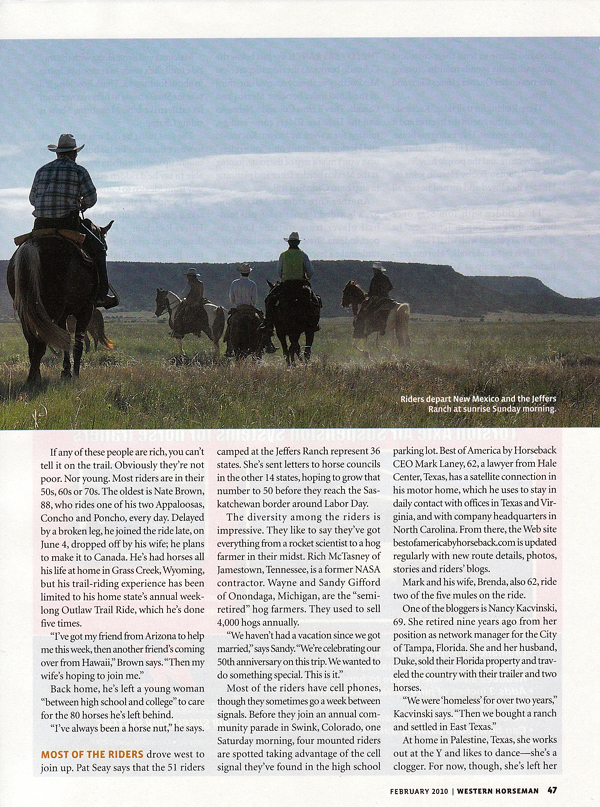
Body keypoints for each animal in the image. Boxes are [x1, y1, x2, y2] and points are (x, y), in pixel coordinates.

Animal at [6, 219, 113, 386]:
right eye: (105, 247)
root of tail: (32, 247)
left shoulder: (64, 315)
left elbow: (65, 341)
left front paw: (66, 372)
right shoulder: (86, 309)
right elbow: (77, 344)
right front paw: (74, 374)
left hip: (26, 310)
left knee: (33, 342)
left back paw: (34, 377)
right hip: (51, 310)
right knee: (41, 344)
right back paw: (33, 379)